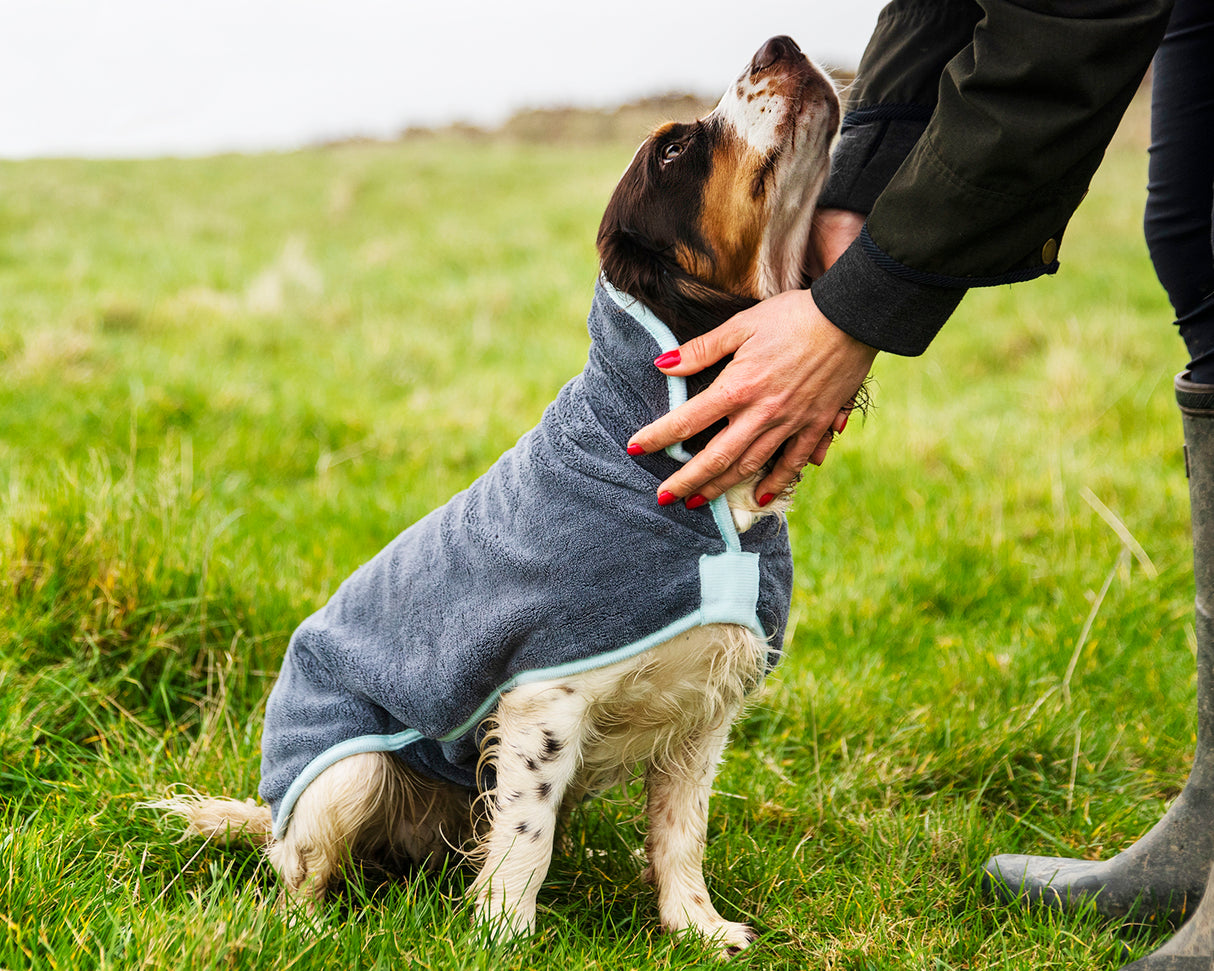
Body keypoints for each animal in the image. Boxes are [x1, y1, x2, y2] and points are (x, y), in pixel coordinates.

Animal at [161, 34, 840, 951]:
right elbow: (525, 835)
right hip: (347, 771)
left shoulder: (706, 711)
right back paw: (310, 929)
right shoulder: (544, 697)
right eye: (672, 150)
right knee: (298, 871)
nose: (783, 43)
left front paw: (697, 926)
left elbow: (680, 831)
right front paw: (503, 934)